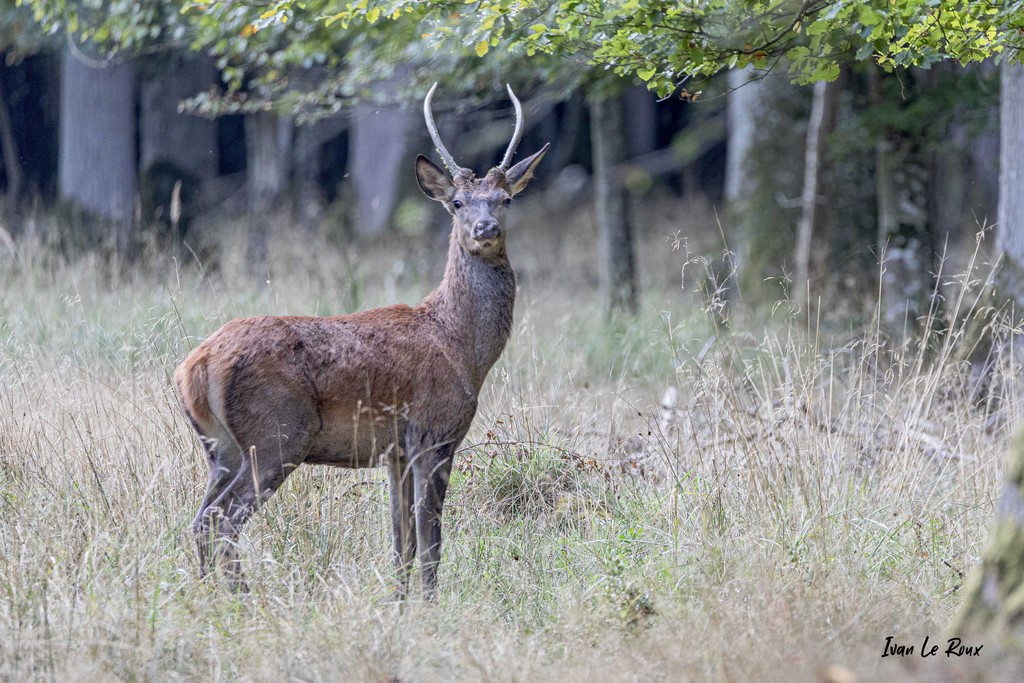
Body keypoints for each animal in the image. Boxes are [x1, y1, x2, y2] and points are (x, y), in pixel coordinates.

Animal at [173, 83, 548, 600]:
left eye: (505, 198)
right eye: (457, 202)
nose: (484, 230)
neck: (464, 348)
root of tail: (194, 366)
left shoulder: (395, 452)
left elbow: (401, 544)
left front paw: (400, 604)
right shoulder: (434, 432)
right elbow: (430, 543)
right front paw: (430, 606)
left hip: (220, 446)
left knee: (199, 519)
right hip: (276, 434)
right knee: (220, 520)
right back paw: (242, 600)